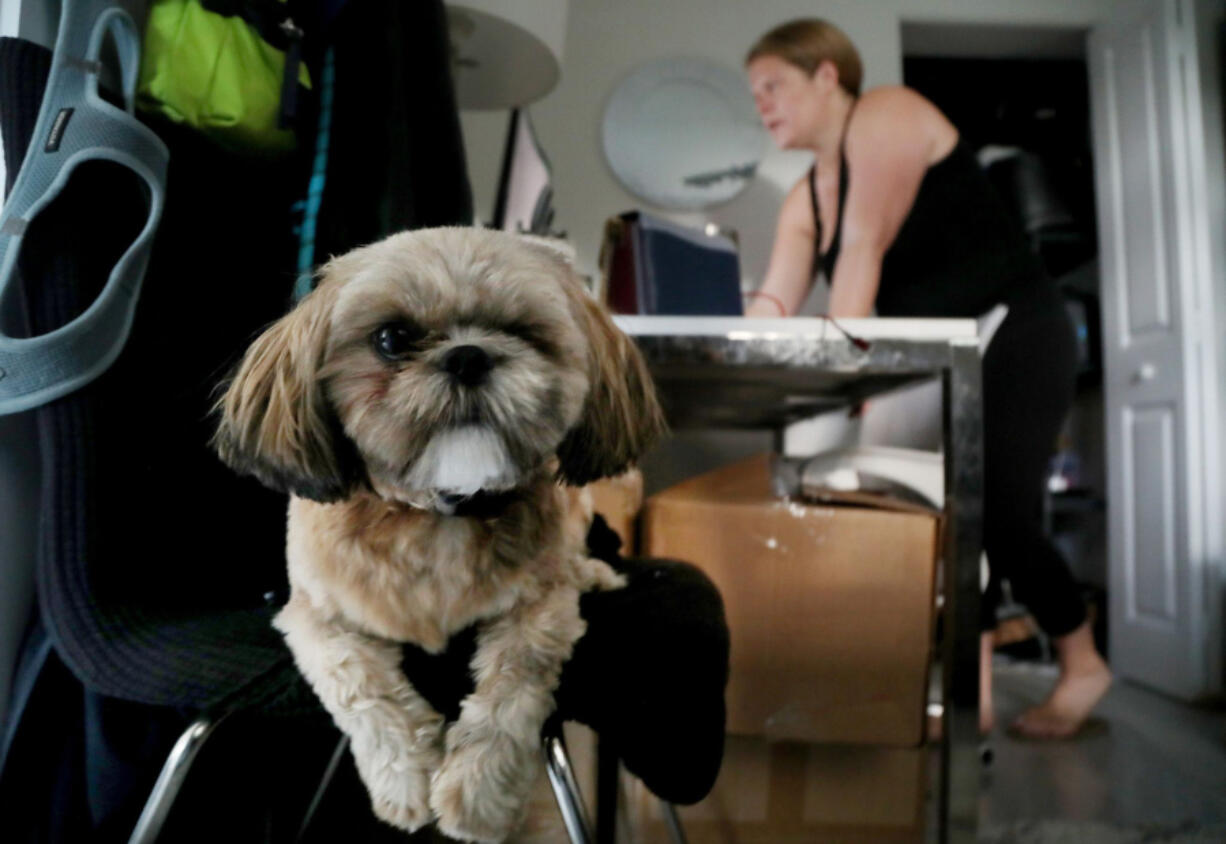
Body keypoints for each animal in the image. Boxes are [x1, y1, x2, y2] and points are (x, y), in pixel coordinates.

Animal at [215, 226, 666, 839]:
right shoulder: (312, 618)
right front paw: (406, 781)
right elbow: (362, 689)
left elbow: (510, 693)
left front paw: (477, 798)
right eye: (391, 338)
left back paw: (593, 571)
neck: (438, 513)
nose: (468, 356)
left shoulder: (541, 611)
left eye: (522, 331)